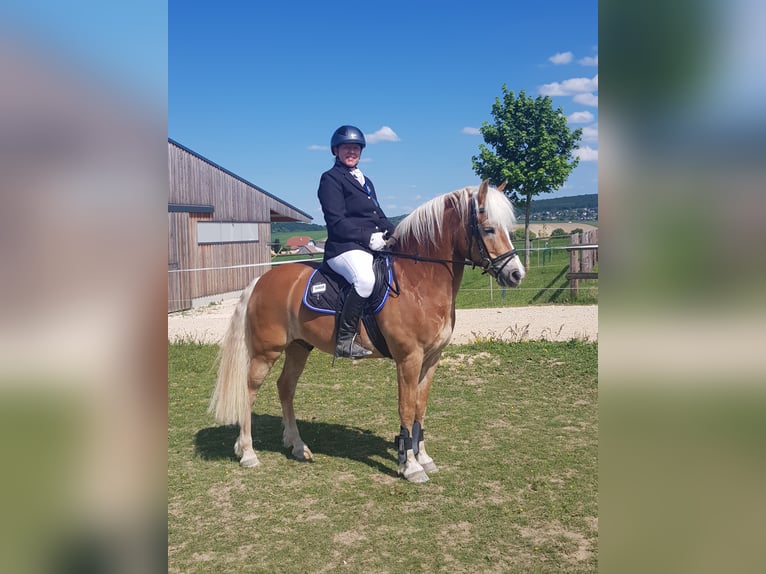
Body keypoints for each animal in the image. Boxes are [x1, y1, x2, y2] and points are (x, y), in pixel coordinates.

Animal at [208, 179, 525, 483]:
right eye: (488, 229)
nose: (516, 274)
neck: (418, 281)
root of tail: (261, 280)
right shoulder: (409, 359)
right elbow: (406, 408)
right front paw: (410, 466)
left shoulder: (432, 359)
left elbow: (420, 407)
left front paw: (423, 457)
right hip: (266, 352)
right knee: (249, 392)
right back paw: (248, 453)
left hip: (298, 347)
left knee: (285, 387)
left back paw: (298, 446)